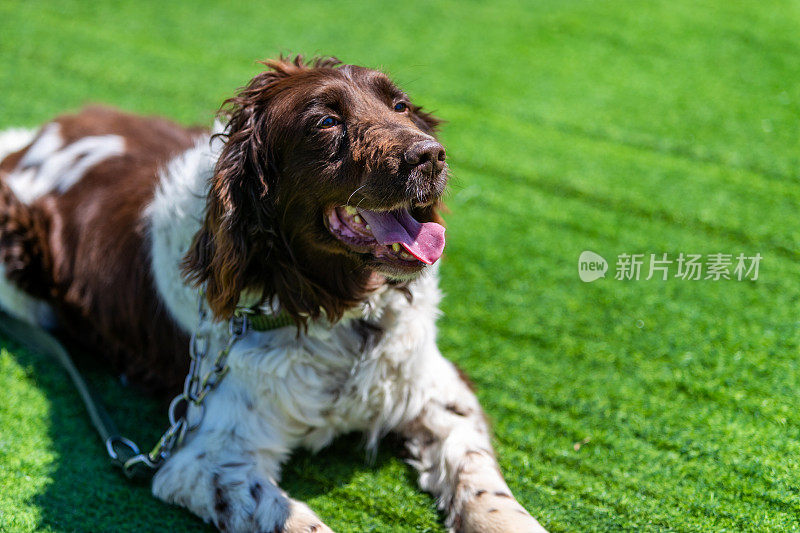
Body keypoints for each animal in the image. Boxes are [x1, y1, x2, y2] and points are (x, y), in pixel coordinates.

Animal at [0, 56, 544, 528]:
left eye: (401, 105)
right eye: (326, 121)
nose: (430, 156)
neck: (334, 311)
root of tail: (30, 142)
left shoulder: (438, 391)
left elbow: (482, 483)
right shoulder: (204, 462)